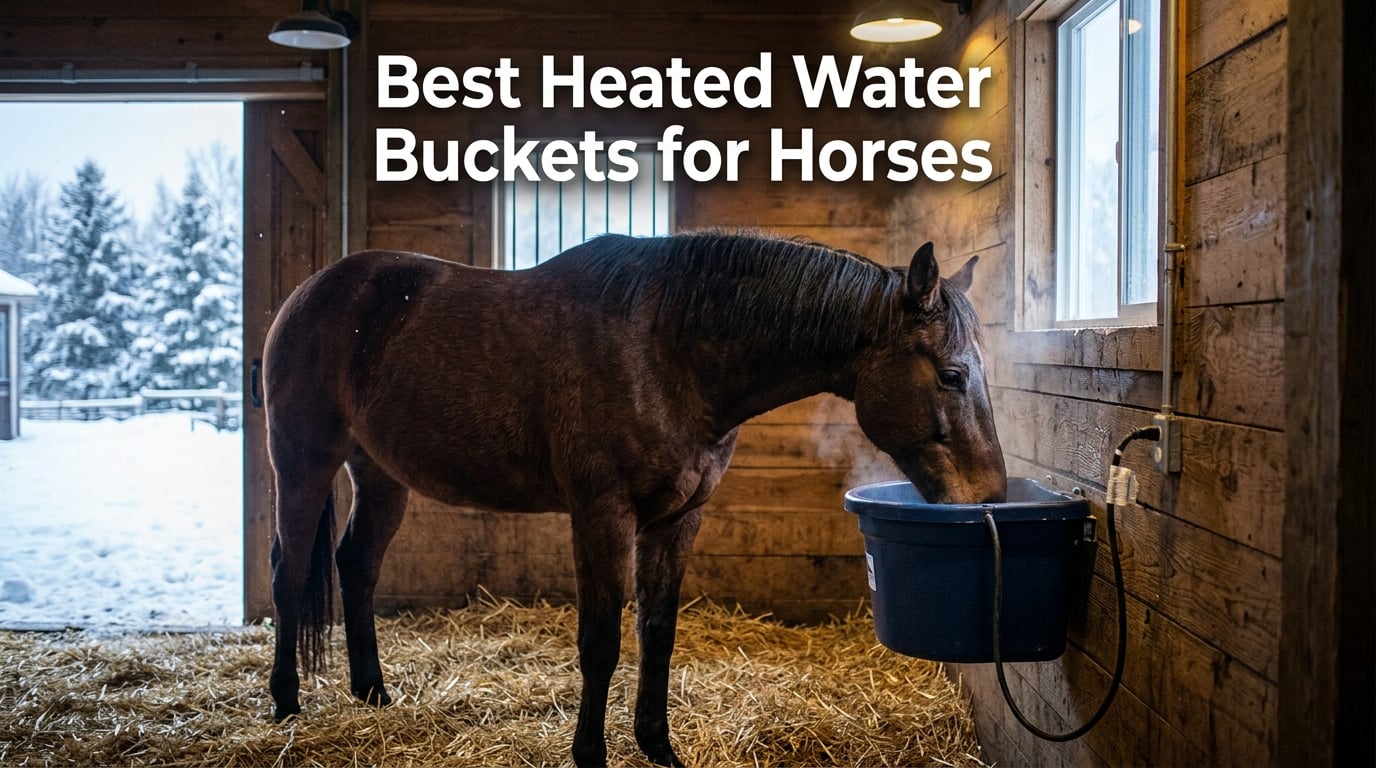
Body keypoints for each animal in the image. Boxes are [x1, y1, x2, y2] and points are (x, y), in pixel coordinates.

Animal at [262, 230, 1006, 767]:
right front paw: (590, 755)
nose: (991, 495)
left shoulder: (678, 519)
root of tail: (309, 293)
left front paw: (658, 747)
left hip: (380, 474)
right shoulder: (602, 514)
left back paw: (373, 692)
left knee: (356, 564)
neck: (667, 350)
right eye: (952, 374)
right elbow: (600, 640)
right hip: (303, 460)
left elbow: (657, 631)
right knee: (291, 569)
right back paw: (286, 701)